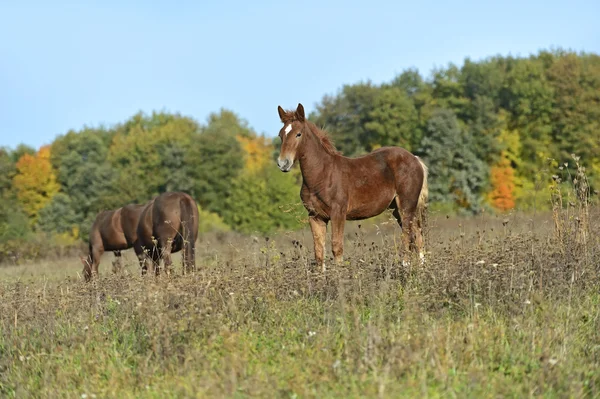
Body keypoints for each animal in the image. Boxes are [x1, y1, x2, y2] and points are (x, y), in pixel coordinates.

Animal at [276, 103, 426, 272]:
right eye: (280, 135)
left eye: (298, 134)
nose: (283, 163)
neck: (321, 174)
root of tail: (415, 159)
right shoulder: (315, 216)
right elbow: (319, 251)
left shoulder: (338, 213)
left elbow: (337, 246)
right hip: (396, 208)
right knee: (417, 234)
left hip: (406, 205)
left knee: (408, 234)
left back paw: (406, 268)